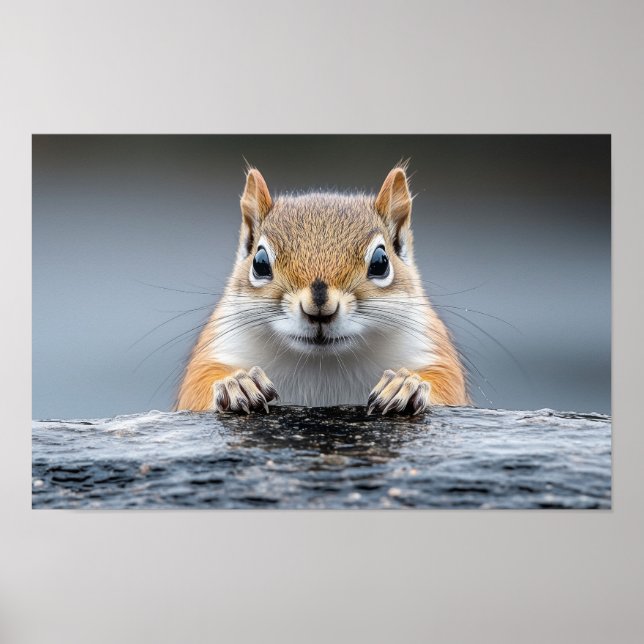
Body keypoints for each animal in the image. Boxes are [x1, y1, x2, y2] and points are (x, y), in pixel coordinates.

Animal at [176, 164, 469, 415]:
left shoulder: (430, 349)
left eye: (381, 262)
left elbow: (448, 388)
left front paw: (405, 384)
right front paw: (237, 383)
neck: (322, 364)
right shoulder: (216, 349)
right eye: (259, 263)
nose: (319, 307)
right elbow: (196, 389)